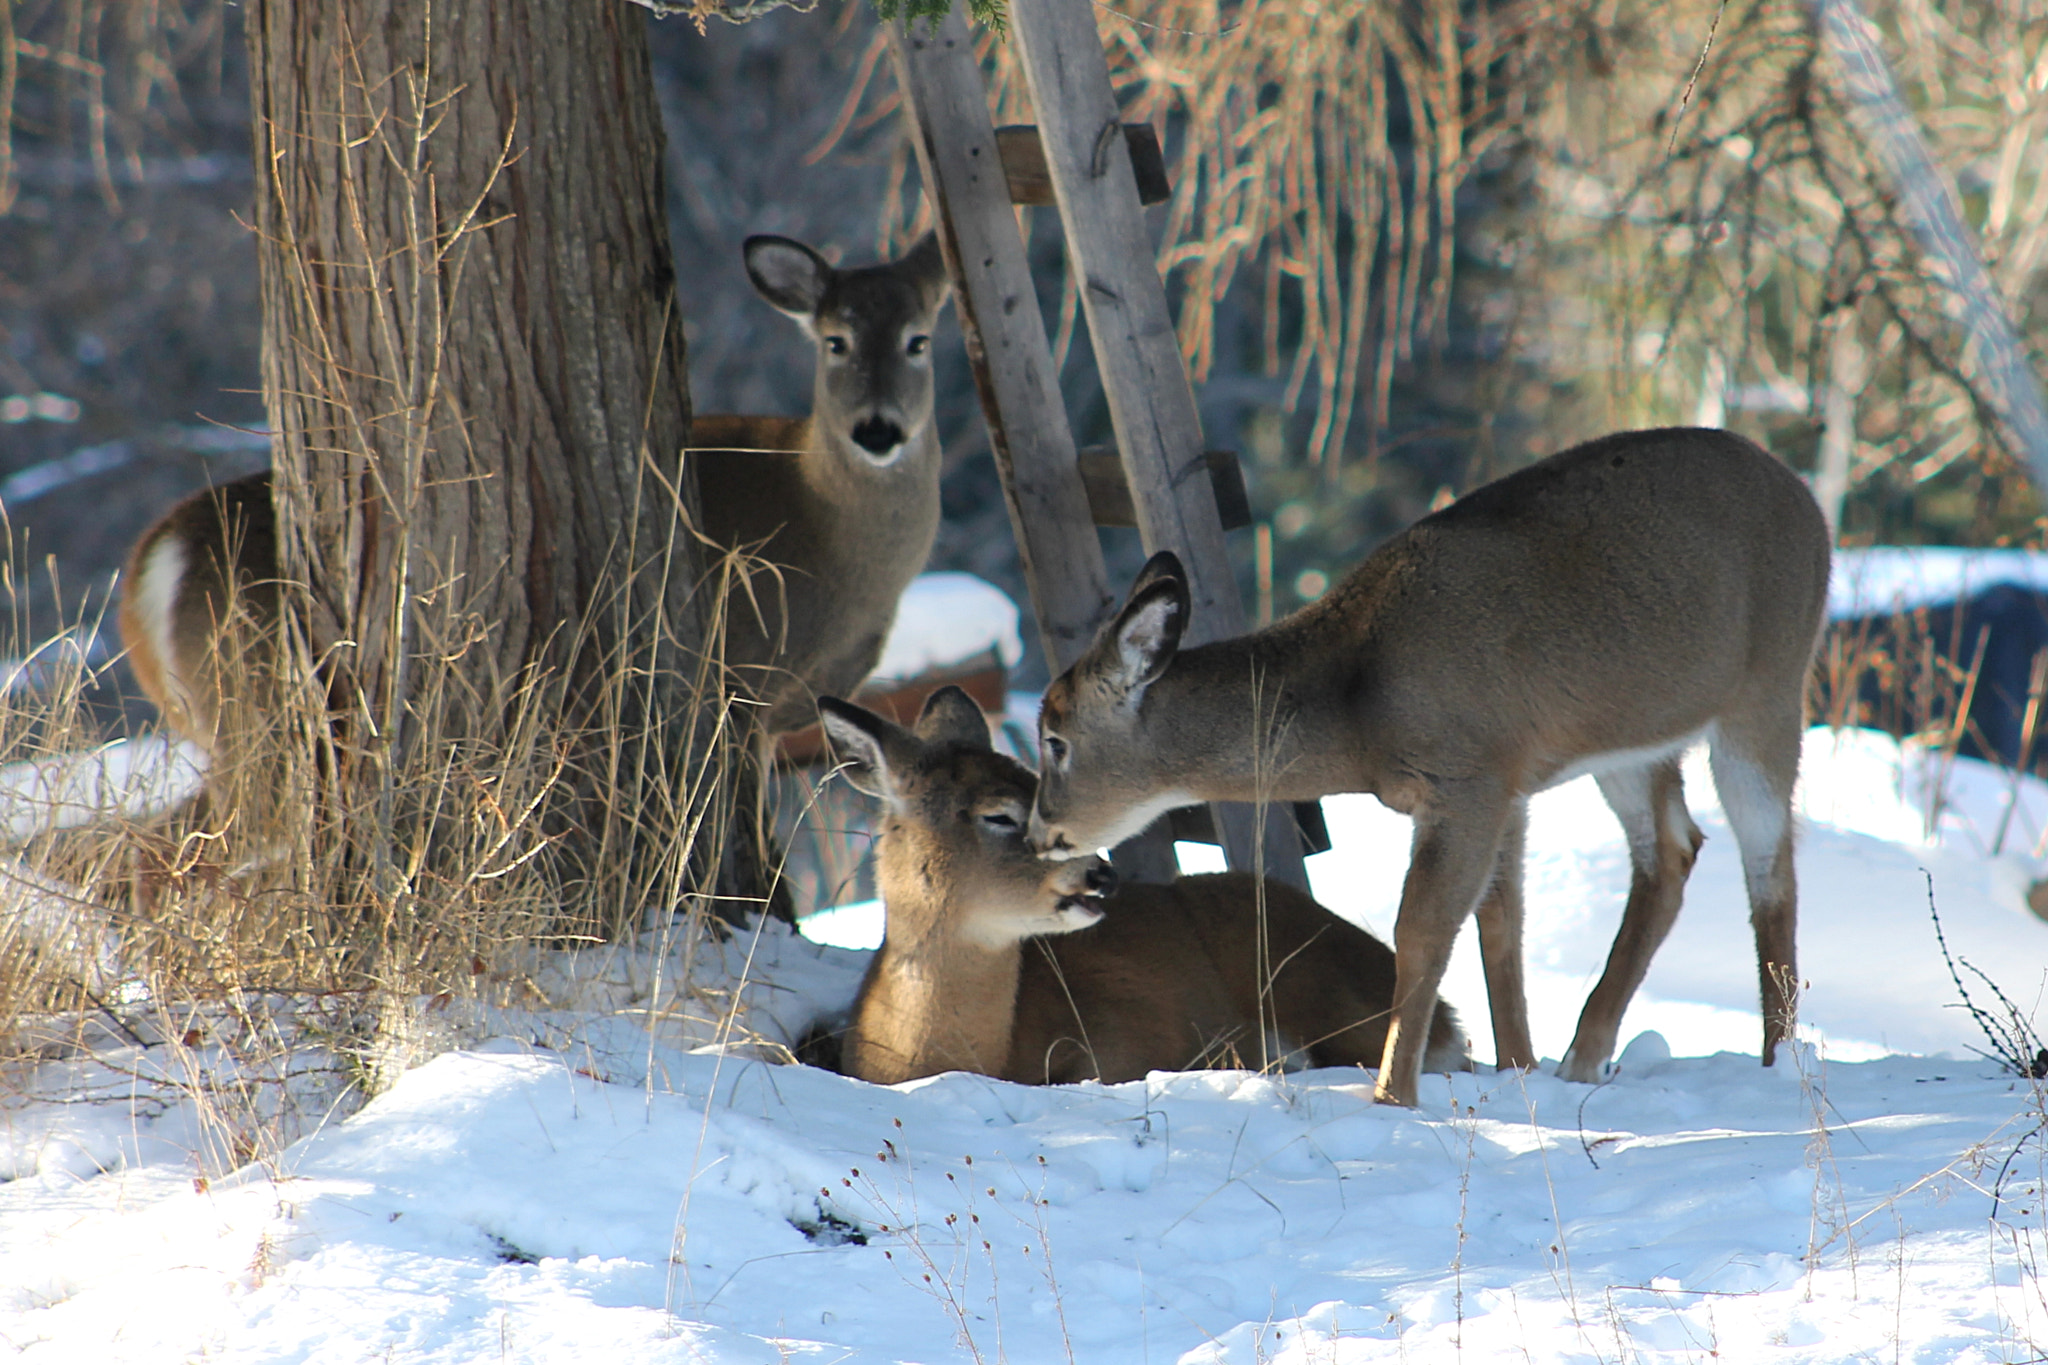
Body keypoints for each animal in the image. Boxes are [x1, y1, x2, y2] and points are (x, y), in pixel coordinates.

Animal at [120, 231, 953, 783]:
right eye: (836, 341)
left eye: (918, 340)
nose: (877, 429)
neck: (824, 537)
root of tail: (153, 565)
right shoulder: (736, 677)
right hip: (259, 703)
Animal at [818, 686, 1469, 1086]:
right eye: (998, 815)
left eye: (1038, 790)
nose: (1100, 871)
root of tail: (1450, 1018)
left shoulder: (1120, 1044)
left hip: (1321, 986)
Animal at [1027, 427, 1831, 1108]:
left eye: (1054, 737)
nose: (1040, 832)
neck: (1357, 705)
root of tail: (1804, 496)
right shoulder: (1508, 779)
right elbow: (1498, 924)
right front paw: (1517, 1068)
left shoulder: (1467, 777)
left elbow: (1420, 930)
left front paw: (1392, 1094)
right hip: (1636, 738)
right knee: (1672, 848)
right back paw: (1584, 1055)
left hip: (1768, 683)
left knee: (1771, 862)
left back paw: (1777, 1058)